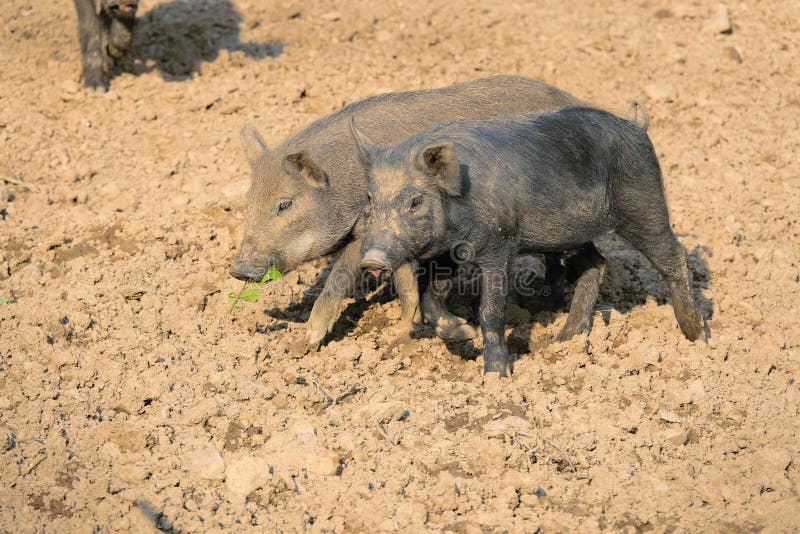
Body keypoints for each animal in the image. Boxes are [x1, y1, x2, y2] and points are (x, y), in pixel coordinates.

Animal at [231, 76, 585, 346]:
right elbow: (404, 279)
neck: (342, 183)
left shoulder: (366, 231)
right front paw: (410, 321)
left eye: (284, 204)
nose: (238, 270)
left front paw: (309, 339)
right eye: (248, 202)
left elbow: (340, 276)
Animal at [351, 106, 705, 376]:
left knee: (674, 255)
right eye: (369, 199)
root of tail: (636, 125)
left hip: (644, 202)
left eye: (415, 201)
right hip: (574, 232)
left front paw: (496, 375)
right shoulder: (447, 255)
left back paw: (695, 335)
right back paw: (565, 339)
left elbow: (491, 310)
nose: (371, 260)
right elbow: (430, 298)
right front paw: (464, 331)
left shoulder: (499, 245)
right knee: (595, 263)